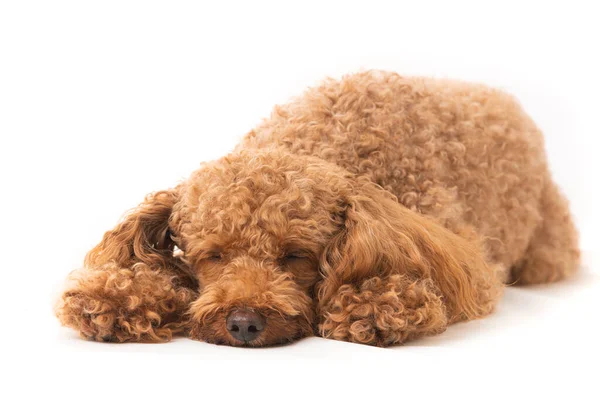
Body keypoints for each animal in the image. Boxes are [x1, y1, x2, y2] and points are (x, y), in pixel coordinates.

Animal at [56, 71, 580, 346]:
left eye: (295, 255)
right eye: (214, 256)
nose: (243, 323)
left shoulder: (453, 247)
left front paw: (373, 303)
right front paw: (116, 299)